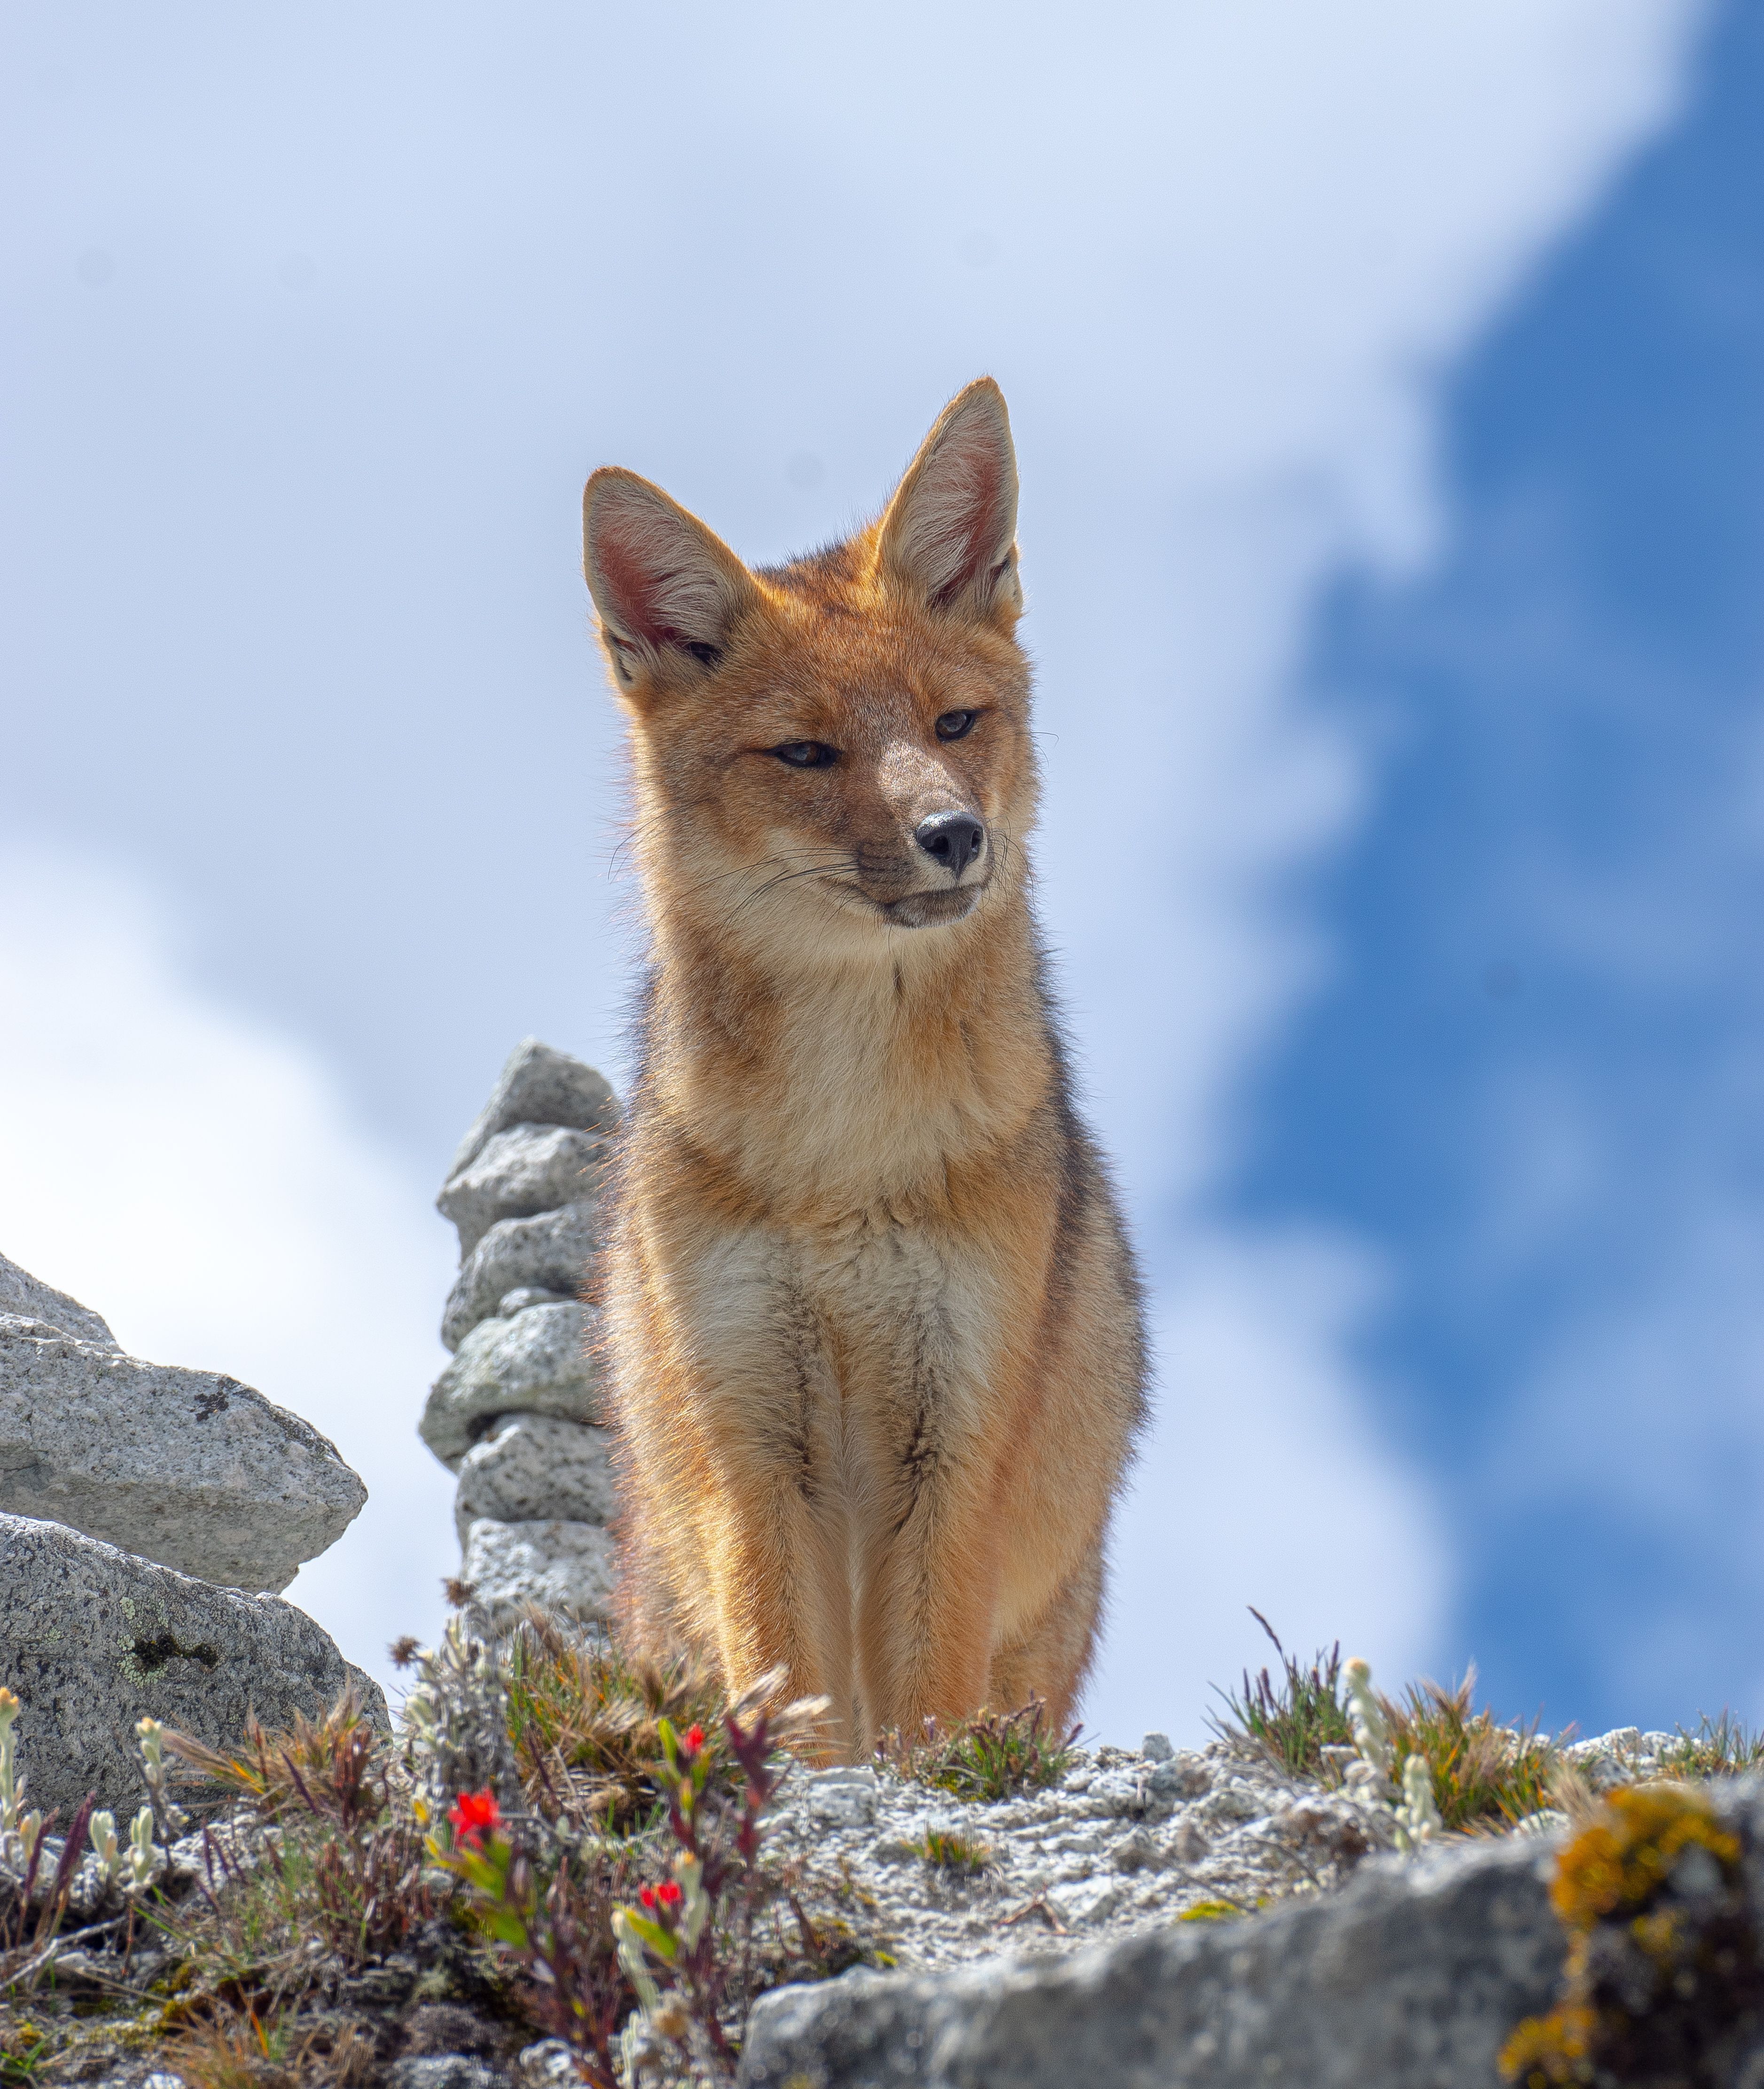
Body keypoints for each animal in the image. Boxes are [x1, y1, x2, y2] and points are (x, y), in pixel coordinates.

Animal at [582, 378, 1147, 1759]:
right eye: (806, 754)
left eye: (953, 723)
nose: (955, 835)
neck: (844, 1159)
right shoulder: (750, 1446)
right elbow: (787, 1695)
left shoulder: (953, 1442)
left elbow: (927, 1711)